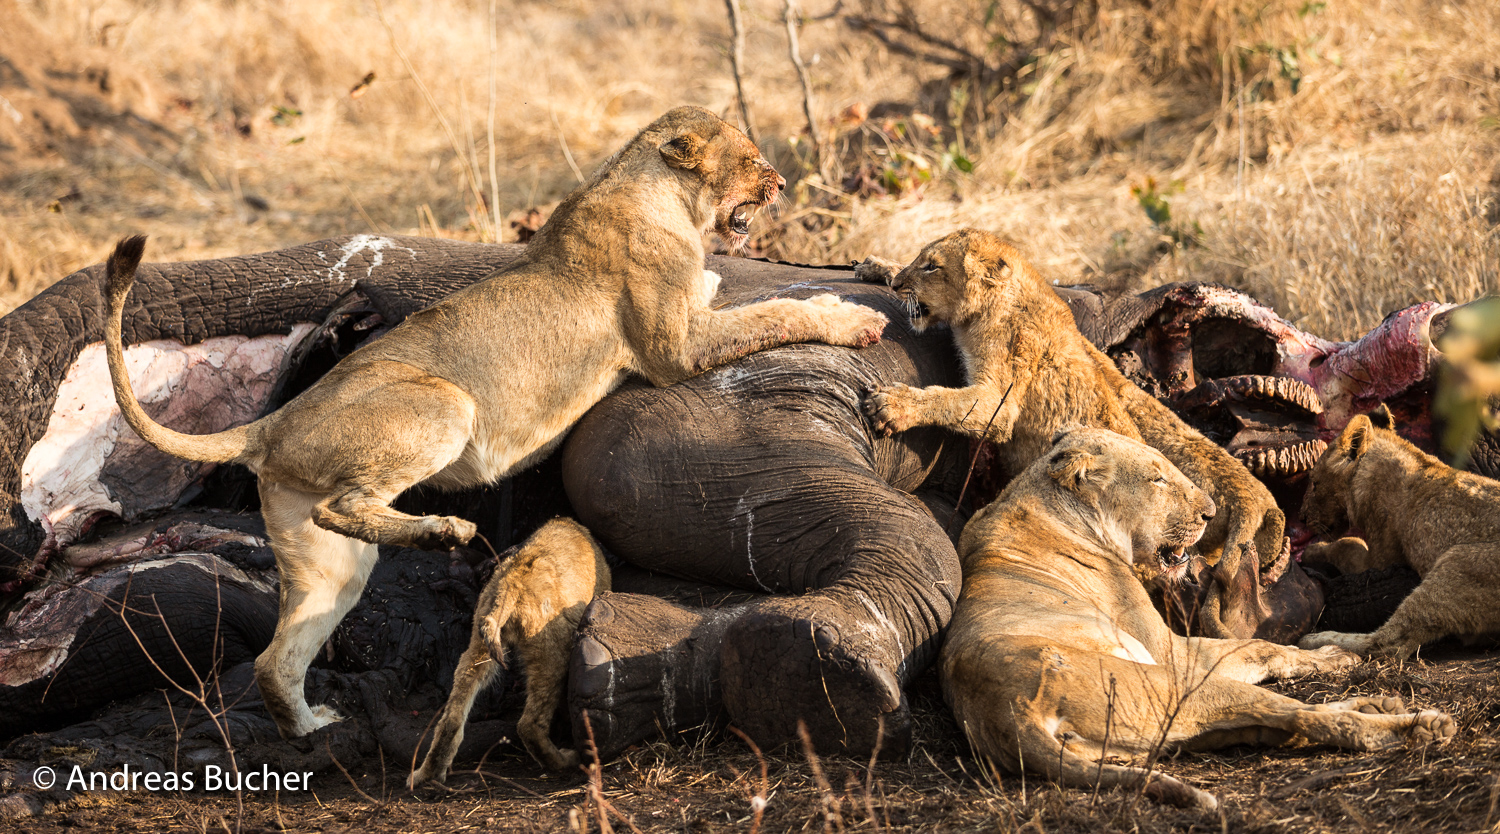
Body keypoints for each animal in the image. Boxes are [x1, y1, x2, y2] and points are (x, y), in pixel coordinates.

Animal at [105, 107, 888, 741]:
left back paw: (310, 729)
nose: (781, 182)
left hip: (327, 563)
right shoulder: (676, 349)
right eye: (752, 158)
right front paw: (850, 316)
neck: (655, 191)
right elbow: (773, 312)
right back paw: (445, 531)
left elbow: (745, 299)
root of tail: (273, 423)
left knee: (278, 654)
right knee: (346, 505)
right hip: (445, 404)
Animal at [411, 519, 609, 786]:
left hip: (478, 643)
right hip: (552, 652)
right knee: (529, 724)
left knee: (451, 715)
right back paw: (564, 761)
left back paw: (428, 773)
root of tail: (510, 584)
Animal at [858, 226, 1290, 633]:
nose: (898, 287)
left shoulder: (1001, 398)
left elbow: (949, 401)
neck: (1001, 302)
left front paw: (893, 405)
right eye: (918, 258)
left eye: (932, 266)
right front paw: (878, 265)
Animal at [942, 426, 1458, 810]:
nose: (1211, 513)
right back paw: (1416, 725)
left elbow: (1263, 652)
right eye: (1156, 480)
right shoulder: (1171, 650)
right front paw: (1332, 656)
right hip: (1172, 684)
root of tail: (1006, 712)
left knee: (1284, 722)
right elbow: (1261, 646)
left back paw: (1379, 706)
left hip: (1156, 732)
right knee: (1305, 719)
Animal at [1296, 411, 1500, 657]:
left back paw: (1315, 640)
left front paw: (1311, 551)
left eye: (1315, 483)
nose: (1301, 517)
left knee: (1388, 644)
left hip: (1457, 561)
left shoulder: (1379, 561)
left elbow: (1348, 543)